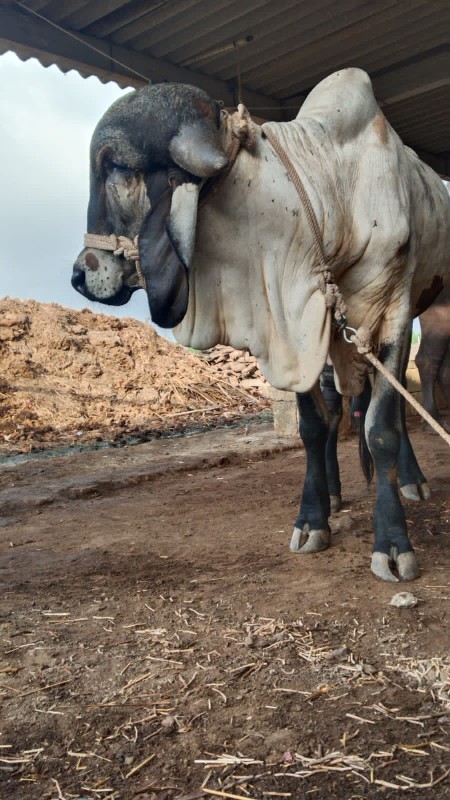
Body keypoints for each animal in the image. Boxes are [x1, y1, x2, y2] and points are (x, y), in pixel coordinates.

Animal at [72, 69, 448, 580]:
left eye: (118, 167)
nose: (78, 275)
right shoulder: (294, 330)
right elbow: (313, 427)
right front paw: (313, 519)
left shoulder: (391, 313)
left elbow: (382, 429)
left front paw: (392, 542)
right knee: (337, 414)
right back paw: (333, 492)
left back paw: (412, 481)